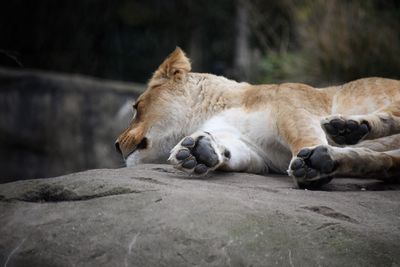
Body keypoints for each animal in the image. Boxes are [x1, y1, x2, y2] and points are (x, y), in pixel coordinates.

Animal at [114, 47, 398, 188]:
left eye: (136, 107)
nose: (116, 145)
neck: (211, 112)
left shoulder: (292, 108)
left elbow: (304, 135)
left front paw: (310, 158)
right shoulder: (259, 155)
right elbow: (234, 154)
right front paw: (198, 151)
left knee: (389, 120)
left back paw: (345, 129)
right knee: (385, 162)